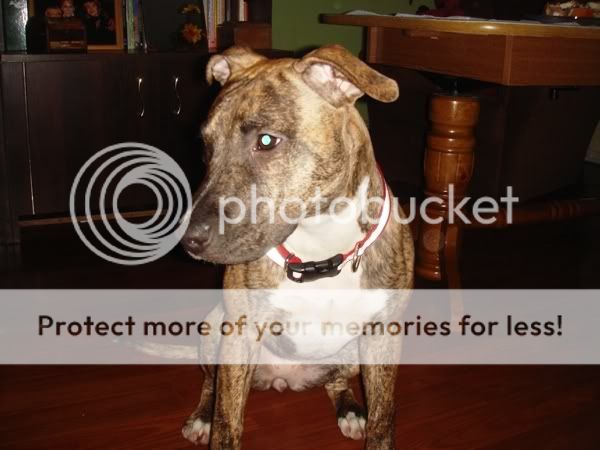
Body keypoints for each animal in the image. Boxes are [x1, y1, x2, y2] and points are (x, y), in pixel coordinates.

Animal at [181, 45, 414, 449]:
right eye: (207, 147)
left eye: (266, 141)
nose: (188, 238)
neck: (320, 246)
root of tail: (285, 379)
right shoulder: (239, 335)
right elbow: (227, 422)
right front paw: (215, 422)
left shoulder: (383, 335)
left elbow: (383, 420)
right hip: (214, 330)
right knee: (211, 382)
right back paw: (201, 417)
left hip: (350, 354)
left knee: (336, 381)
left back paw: (350, 409)